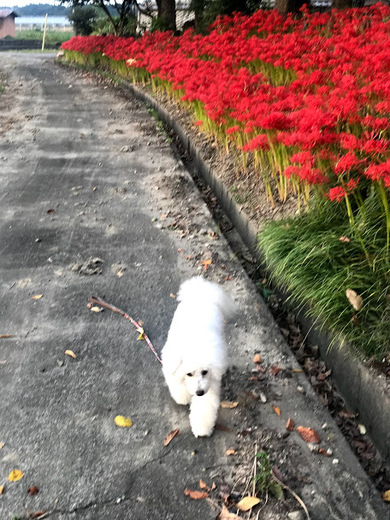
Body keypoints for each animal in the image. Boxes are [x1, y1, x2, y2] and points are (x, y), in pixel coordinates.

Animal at [161, 278, 235, 436]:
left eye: (205, 372)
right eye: (189, 374)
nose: (199, 392)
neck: (194, 341)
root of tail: (201, 293)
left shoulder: (210, 383)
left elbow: (205, 406)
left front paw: (202, 427)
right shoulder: (172, 364)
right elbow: (177, 383)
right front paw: (183, 396)